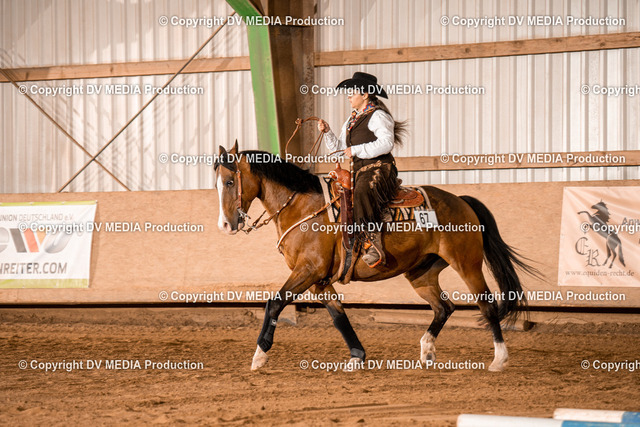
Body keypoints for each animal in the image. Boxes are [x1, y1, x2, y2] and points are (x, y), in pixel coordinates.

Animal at [215, 142, 539, 372]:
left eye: (230, 182)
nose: (226, 225)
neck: (303, 207)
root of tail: (461, 201)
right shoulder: (319, 280)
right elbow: (338, 316)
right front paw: (357, 356)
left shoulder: (308, 271)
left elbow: (274, 303)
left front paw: (259, 356)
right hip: (421, 273)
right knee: (444, 307)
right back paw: (426, 351)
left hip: (466, 263)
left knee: (487, 304)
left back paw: (499, 359)